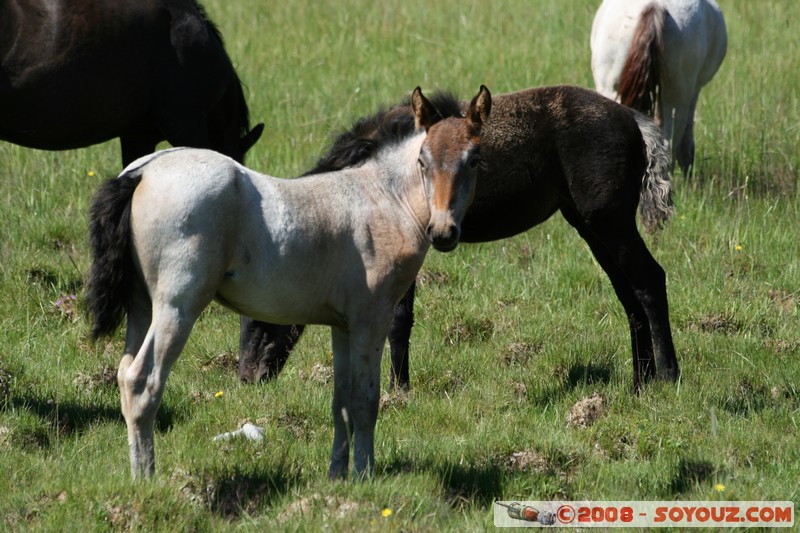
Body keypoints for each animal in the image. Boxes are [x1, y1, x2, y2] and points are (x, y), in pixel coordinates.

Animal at [84, 86, 491, 480]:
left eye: (474, 160)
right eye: (423, 160)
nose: (443, 232)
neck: (383, 199)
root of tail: (141, 173)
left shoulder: (342, 326)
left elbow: (341, 401)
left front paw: (337, 475)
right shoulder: (370, 320)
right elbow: (365, 400)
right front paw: (365, 476)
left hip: (142, 307)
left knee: (124, 376)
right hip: (176, 309)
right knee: (142, 382)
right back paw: (148, 482)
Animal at [238, 85, 680, 393]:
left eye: (263, 316)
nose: (247, 377)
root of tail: (634, 121)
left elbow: (398, 318)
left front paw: (399, 391)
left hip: (609, 222)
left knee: (649, 280)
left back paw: (667, 376)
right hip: (589, 225)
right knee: (628, 294)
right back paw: (639, 382)